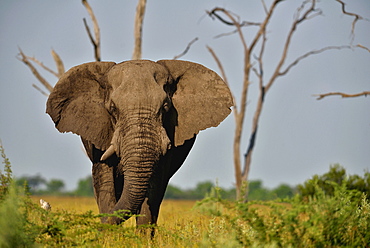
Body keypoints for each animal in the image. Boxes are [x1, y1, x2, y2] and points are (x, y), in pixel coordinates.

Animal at [45, 59, 231, 227]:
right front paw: (109, 237)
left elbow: (154, 186)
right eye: (112, 108)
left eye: (165, 107)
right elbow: (104, 181)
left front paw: (143, 239)